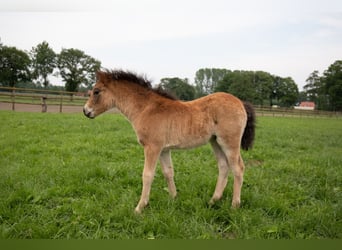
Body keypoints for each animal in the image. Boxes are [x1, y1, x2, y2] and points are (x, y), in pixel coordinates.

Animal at [83, 70, 255, 213]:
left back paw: (234, 205)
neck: (146, 108)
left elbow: (147, 175)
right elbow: (168, 172)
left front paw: (139, 208)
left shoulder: (152, 147)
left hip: (229, 143)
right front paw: (173, 199)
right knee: (223, 166)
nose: (85, 111)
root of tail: (240, 103)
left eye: (96, 92)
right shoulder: (164, 149)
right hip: (215, 142)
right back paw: (213, 201)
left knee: (238, 168)